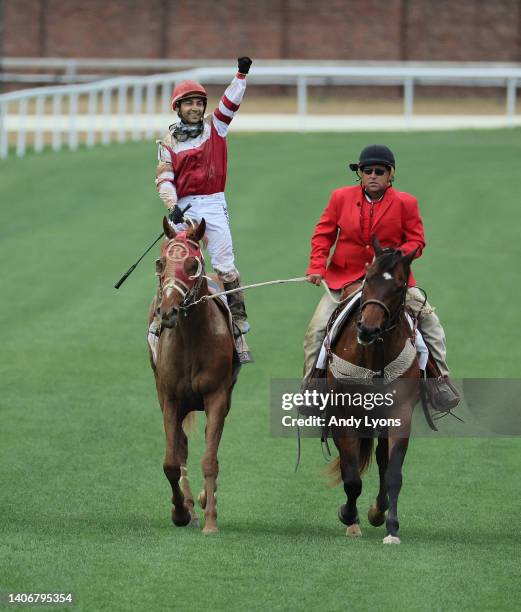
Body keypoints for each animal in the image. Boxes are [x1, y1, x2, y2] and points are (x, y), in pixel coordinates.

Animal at [147, 218, 235, 532]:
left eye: (192, 265)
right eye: (161, 263)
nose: (168, 312)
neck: (192, 339)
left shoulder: (217, 396)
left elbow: (210, 458)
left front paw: (211, 520)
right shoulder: (170, 400)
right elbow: (171, 462)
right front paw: (180, 512)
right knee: (182, 447)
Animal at [328, 235, 420, 544]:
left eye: (399, 285)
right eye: (367, 278)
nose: (368, 329)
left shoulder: (400, 413)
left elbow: (393, 473)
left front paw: (390, 525)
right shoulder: (343, 414)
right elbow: (351, 476)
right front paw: (348, 515)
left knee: (381, 458)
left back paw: (378, 511)